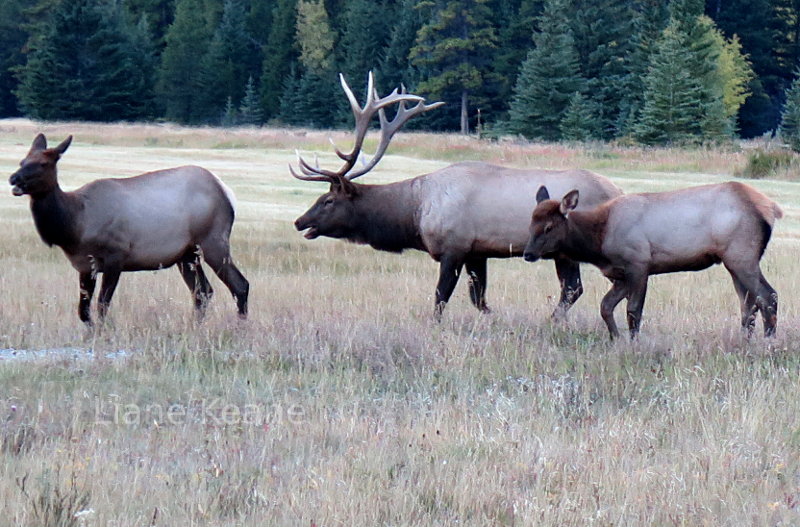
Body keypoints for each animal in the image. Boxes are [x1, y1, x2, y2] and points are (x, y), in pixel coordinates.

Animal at [7, 134, 248, 324]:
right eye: (22, 160)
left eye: (43, 164)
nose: (13, 178)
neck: (75, 225)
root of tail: (227, 192)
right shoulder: (85, 265)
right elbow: (83, 312)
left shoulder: (116, 255)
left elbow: (102, 306)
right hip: (186, 254)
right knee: (202, 292)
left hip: (212, 240)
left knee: (240, 285)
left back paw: (240, 327)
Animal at [294, 72, 624, 320]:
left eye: (328, 200)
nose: (299, 221)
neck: (415, 213)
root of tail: (618, 190)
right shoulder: (477, 252)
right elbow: (478, 297)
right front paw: (492, 319)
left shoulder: (454, 246)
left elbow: (441, 296)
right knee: (574, 288)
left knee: (575, 288)